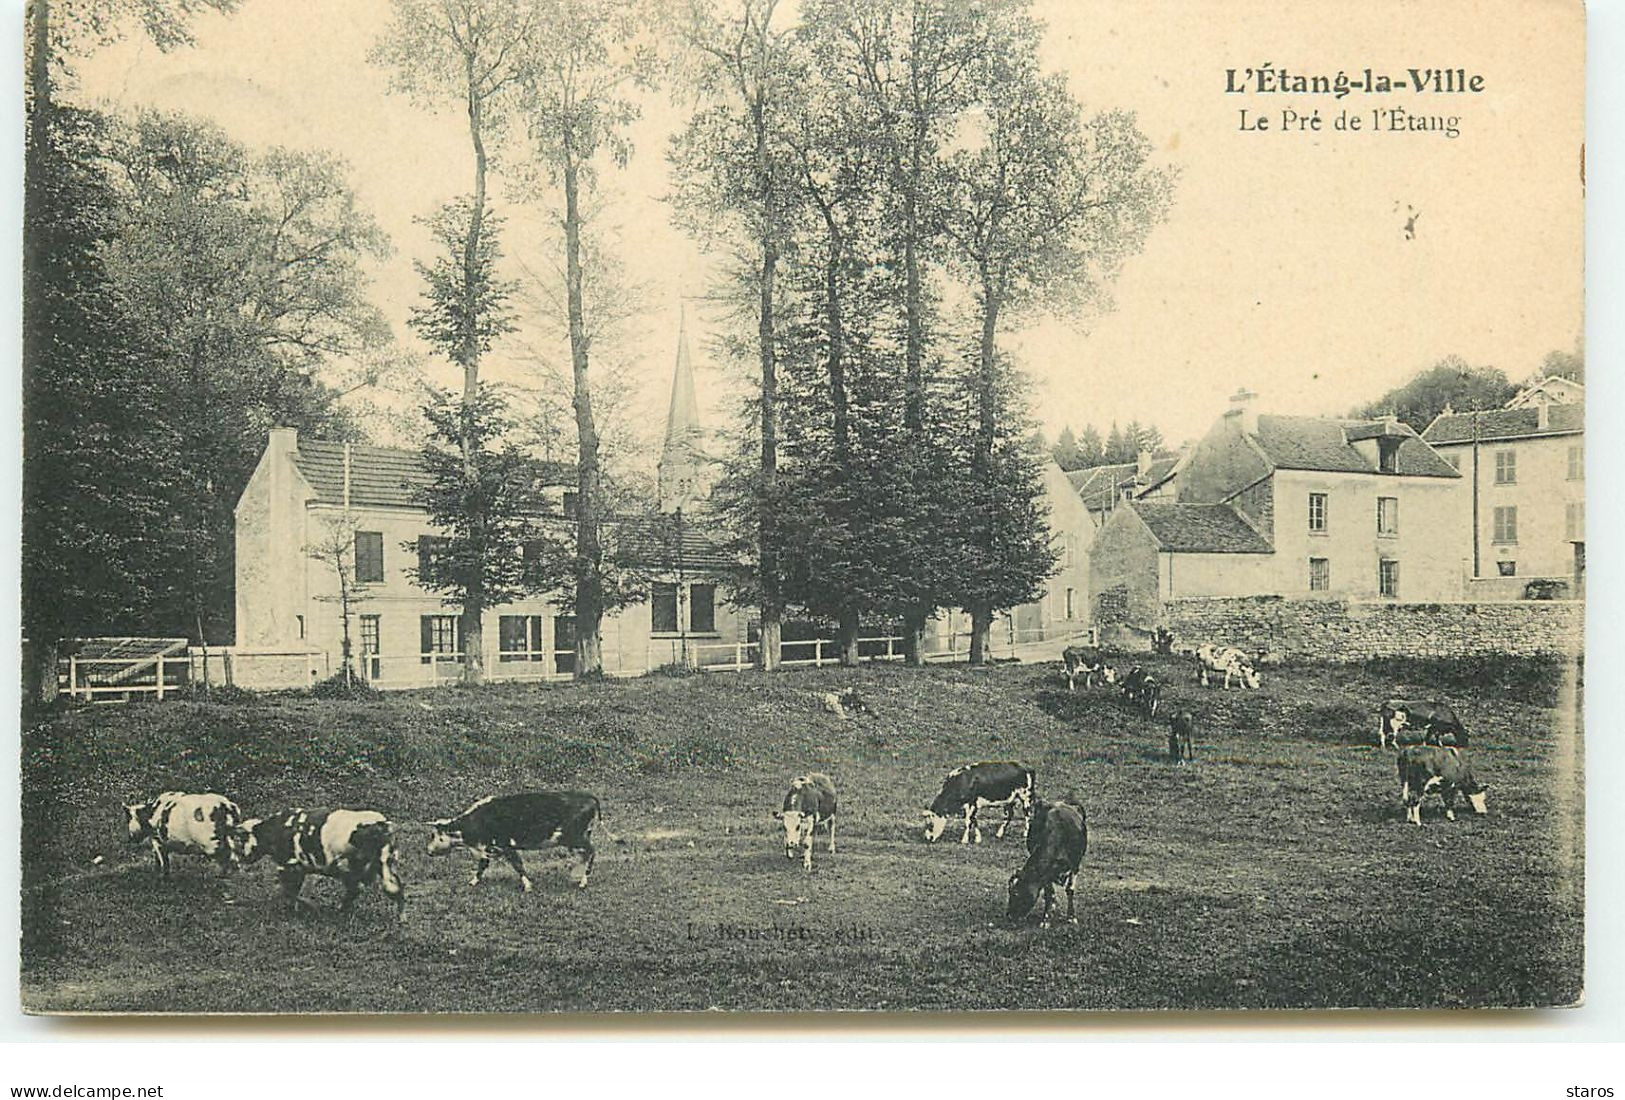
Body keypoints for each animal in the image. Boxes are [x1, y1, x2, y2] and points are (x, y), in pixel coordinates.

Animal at [230, 805, 404, 916]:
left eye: (242, 839)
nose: (242, 857)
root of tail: (382, 824)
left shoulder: (291, 866)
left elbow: (290, 892)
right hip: (384, 867)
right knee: (395, 890)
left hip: (351, 868)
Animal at [429, 786, 601, 890]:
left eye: (436, 835)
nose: (428, 850)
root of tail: (588, 796)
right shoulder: (488, 848)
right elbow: (482, 866)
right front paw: (473, 882)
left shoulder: (505, 845)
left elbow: (517, 865)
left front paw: (528, 886)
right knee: (586, 854)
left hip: (575, 837)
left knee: (591, 852)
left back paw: (582, 881)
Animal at [1001, 799, 1092, 929]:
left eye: (1016, 893)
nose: (1009, 915)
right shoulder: (1046, 873)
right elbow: (1049, 894)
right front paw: (1046, 919)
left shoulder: (1075, 866)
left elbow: (1070, 890)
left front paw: (1071, 917)